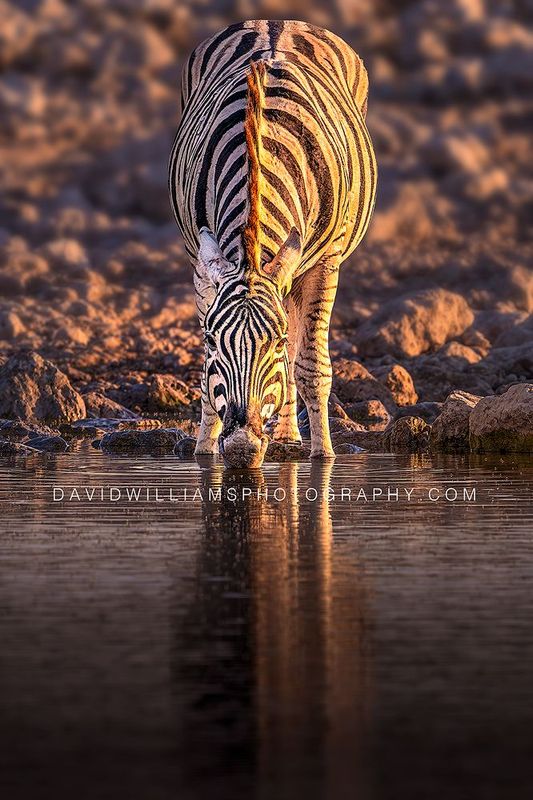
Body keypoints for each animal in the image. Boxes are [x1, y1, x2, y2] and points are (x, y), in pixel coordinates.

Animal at [169, 19, 376, 468]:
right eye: (212, 340)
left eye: (274, 341)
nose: (243, 448)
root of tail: (276, 23)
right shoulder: (202, 264)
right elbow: (207, 378)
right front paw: (204, 451)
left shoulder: (325, 263)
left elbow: (310, 365)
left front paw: (323, 456)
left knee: (301, 349)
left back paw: (288, 436)